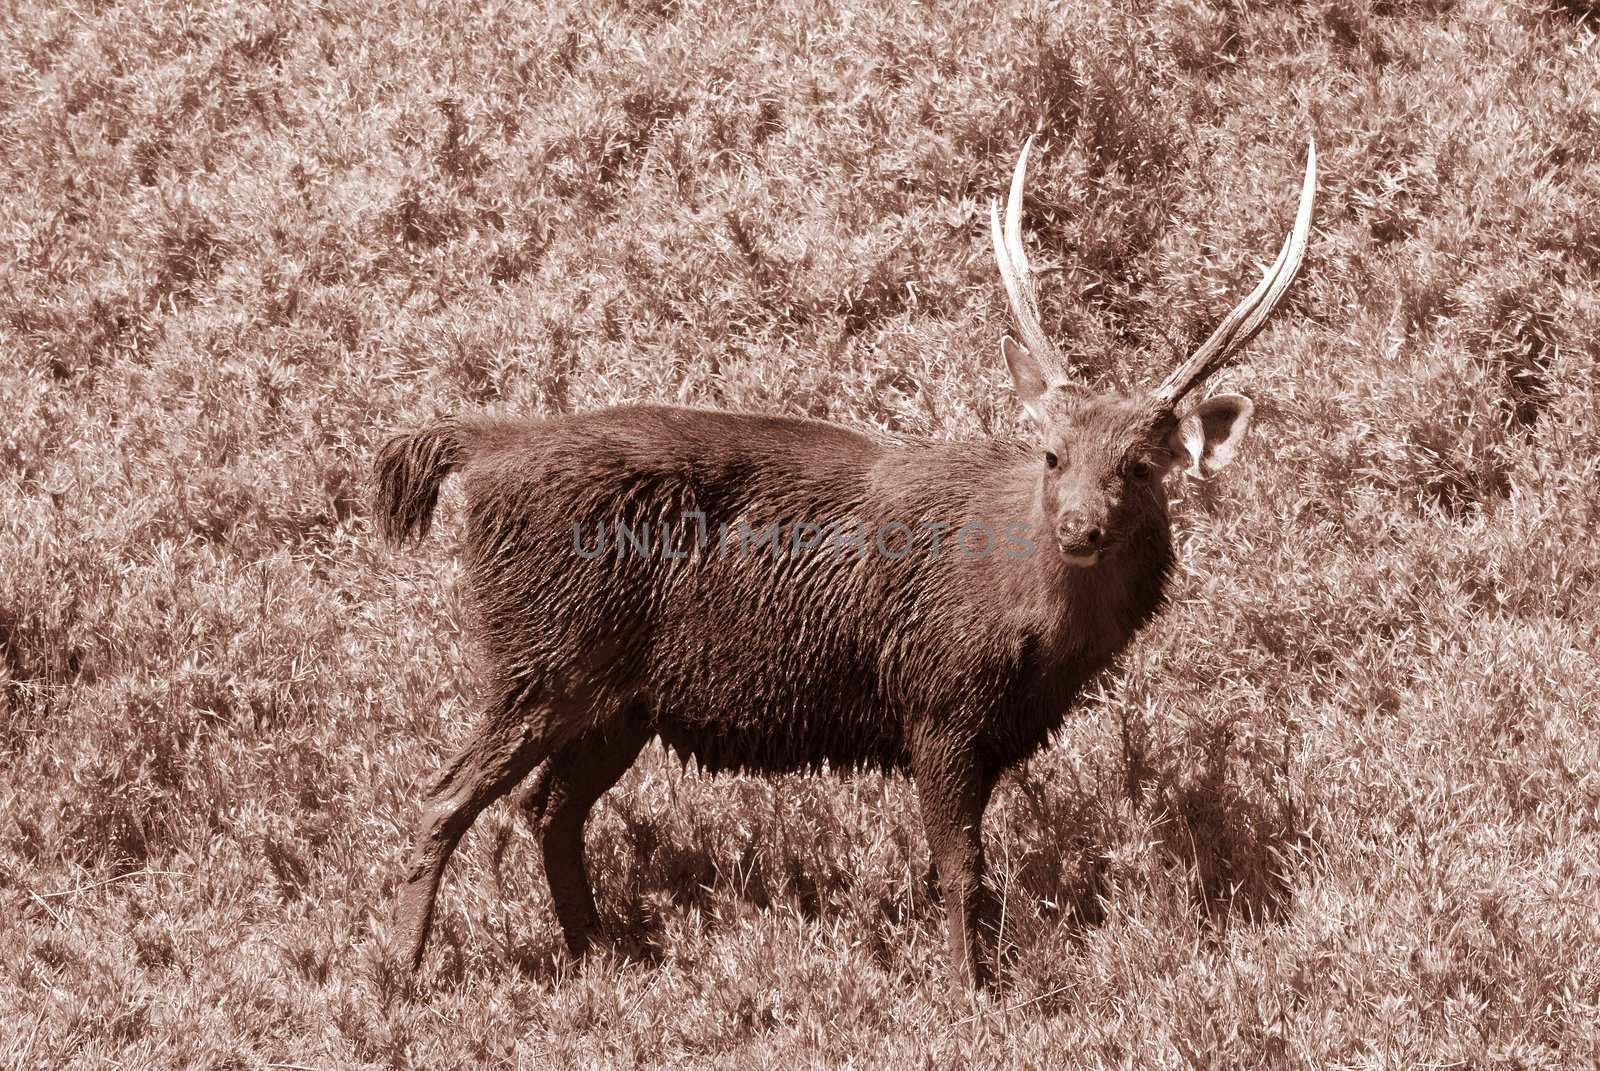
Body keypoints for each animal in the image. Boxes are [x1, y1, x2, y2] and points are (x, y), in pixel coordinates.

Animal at [380, 136, 1318, 986]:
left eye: (1139, 466)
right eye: (1052, 455)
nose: (1080, 528)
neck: (1036, 637)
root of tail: (480, 449)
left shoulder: (989, 731)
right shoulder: (936, 702)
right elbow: (962, 870)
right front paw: (972, 992)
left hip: (619, 699)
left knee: (549, 806)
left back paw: (598, 953)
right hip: (541, 654)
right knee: (445, 795)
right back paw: (403, 973)